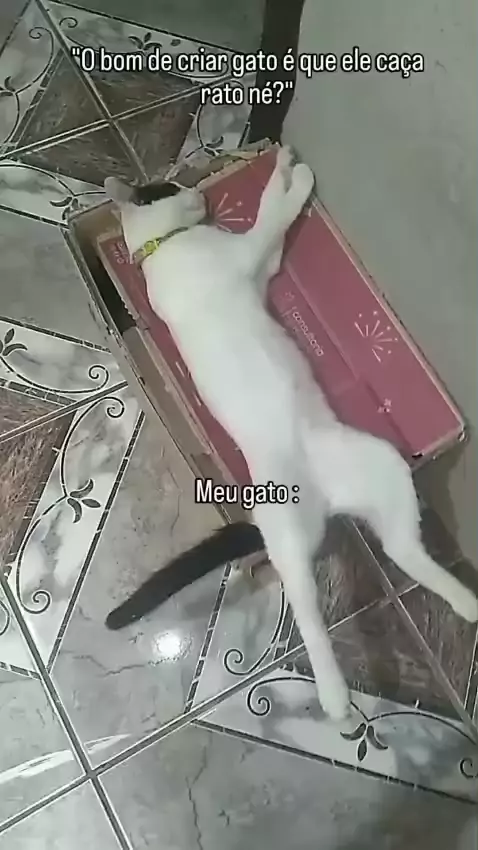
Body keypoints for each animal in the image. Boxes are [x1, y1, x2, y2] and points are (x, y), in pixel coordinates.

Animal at [104, 145, 478, 721]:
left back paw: (465, 602)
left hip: (383, 470)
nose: (197, 192)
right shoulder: (249, 252)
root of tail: (328, 501)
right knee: (307, 608)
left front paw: (277, 164)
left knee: (401, 550)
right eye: (169, 187)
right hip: (294, 537)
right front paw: (292, 174)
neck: (157, 250)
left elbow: (272, 222)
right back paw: (335, 699)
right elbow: (270, 215)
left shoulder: (263, 266)